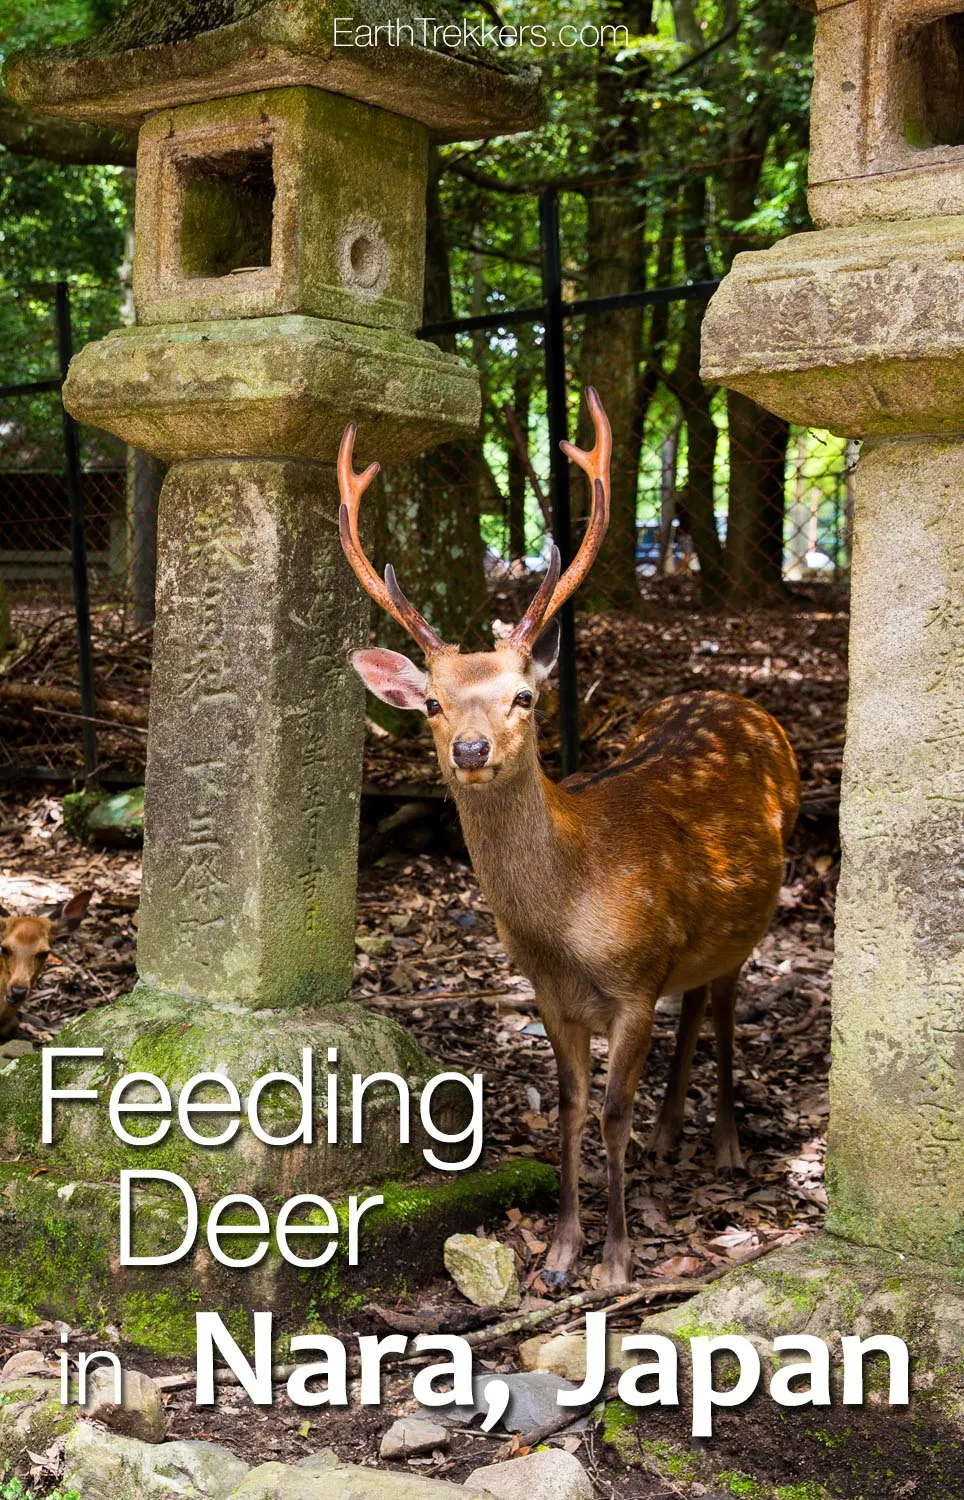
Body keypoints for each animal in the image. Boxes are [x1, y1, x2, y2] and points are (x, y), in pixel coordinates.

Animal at [338, 390, 797, 1290]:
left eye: (523, 696)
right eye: (433, 703)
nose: (469, 749)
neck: (568, 923)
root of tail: (742, 700)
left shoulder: (633, 982)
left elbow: (612, 1111)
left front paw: (615, 1262)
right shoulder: (551, 996)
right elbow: (572, 1107)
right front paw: (557, 1253)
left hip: (756, 915)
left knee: (726, 1002)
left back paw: (724, 1144)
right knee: (696, 1000)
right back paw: (669, 1139)